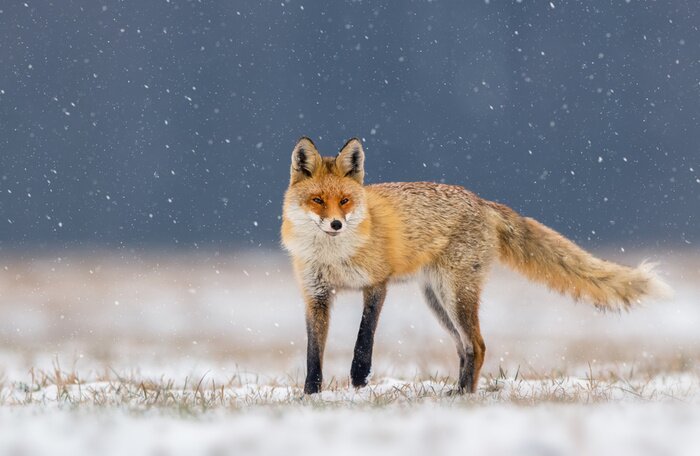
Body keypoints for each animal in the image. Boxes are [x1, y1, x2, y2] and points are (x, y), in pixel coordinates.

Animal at [281, 136, 670, 395]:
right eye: (318, 201)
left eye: (345, 201)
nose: (336, 224)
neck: (334, 256)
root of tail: (483, 201)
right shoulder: (315, 295)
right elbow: (313, 353)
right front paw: (311, 394)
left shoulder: (377, 284)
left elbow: (364, 341)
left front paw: (359, 382)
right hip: (438, 301)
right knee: (466, 348)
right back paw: (458, 392)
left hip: (455, 296)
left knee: (479, 346)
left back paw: (464, 396)